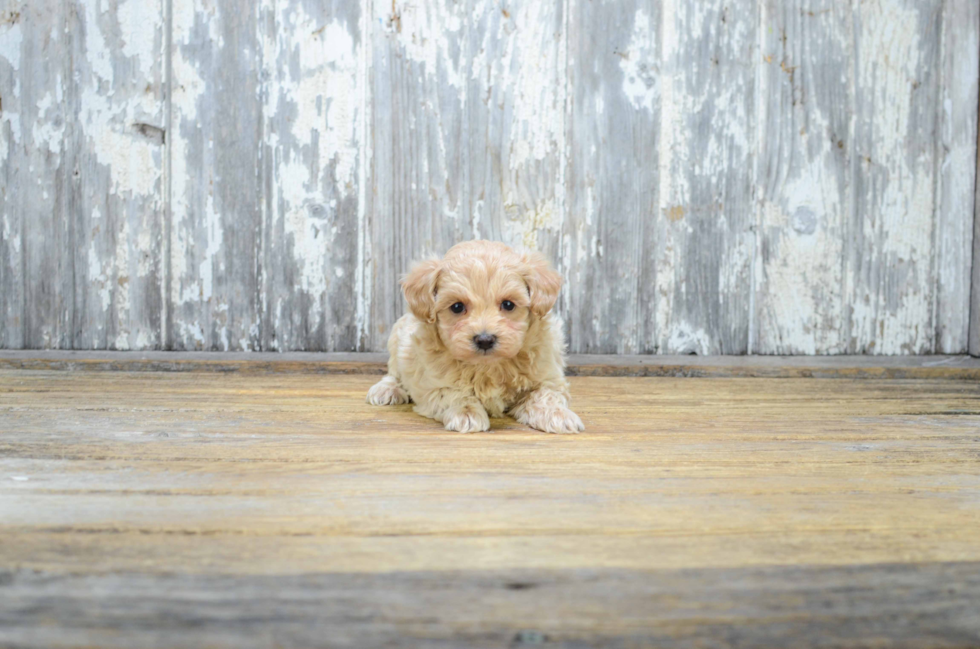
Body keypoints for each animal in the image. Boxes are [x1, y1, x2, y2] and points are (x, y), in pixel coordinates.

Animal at [366, 240, 580, 432]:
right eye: (457, 307)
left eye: (508, 304)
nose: (484, 340)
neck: (487, 366)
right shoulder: (433, 384)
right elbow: (453, 393)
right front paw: (467, 414)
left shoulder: (548, 376)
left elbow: (546, 394)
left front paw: (557, 415)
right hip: (397, 339)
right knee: (394, 372)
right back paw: (386, 390)